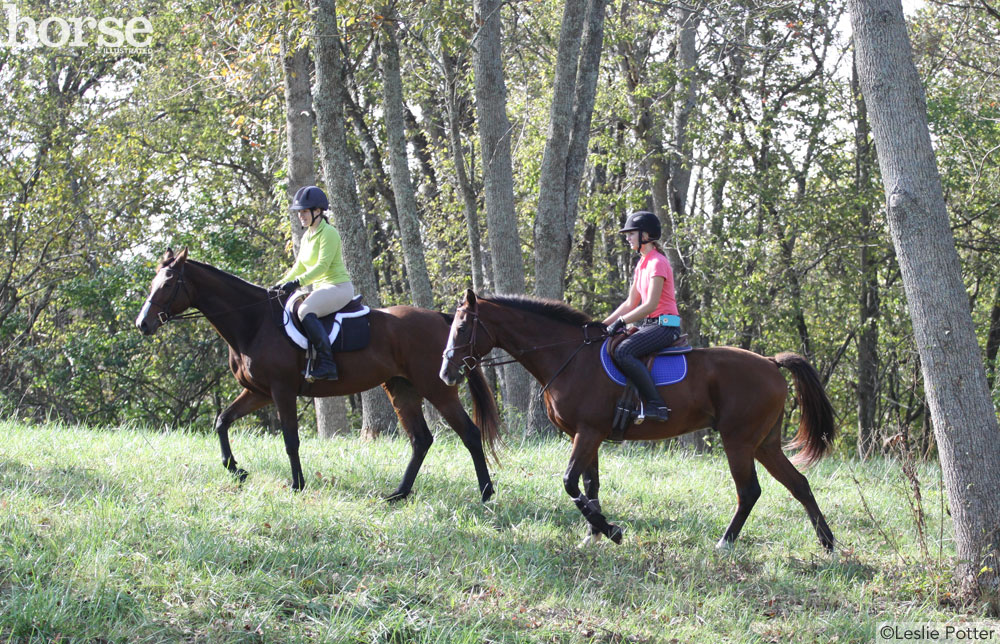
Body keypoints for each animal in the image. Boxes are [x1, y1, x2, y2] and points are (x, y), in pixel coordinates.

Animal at [135, 249, 500, 500]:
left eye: (168, 283)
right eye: (154, 282)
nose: (143, 324)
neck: (253, 322)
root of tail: (441, 318)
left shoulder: (281, 391)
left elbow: (290, 439)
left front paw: (296, 484)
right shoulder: (258, 392)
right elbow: (222, 421)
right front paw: (236, 470)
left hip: (436, 388)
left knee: (468, 433)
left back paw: (485, 492)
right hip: (402, 389)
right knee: (421, 440)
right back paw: (398, 494)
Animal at [438, 290, 836, 552]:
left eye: (462, 328)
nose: (446, 373)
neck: (569, 358)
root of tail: (770, 363)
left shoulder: (588, 433)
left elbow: (570, 483)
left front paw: (611, 531)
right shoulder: (588, 436)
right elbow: (590, 485)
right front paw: (593, 535)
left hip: (738, 441)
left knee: (749, 491)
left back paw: (725, 543)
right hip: (764, 443)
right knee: (799, 484)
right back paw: (828, 543)